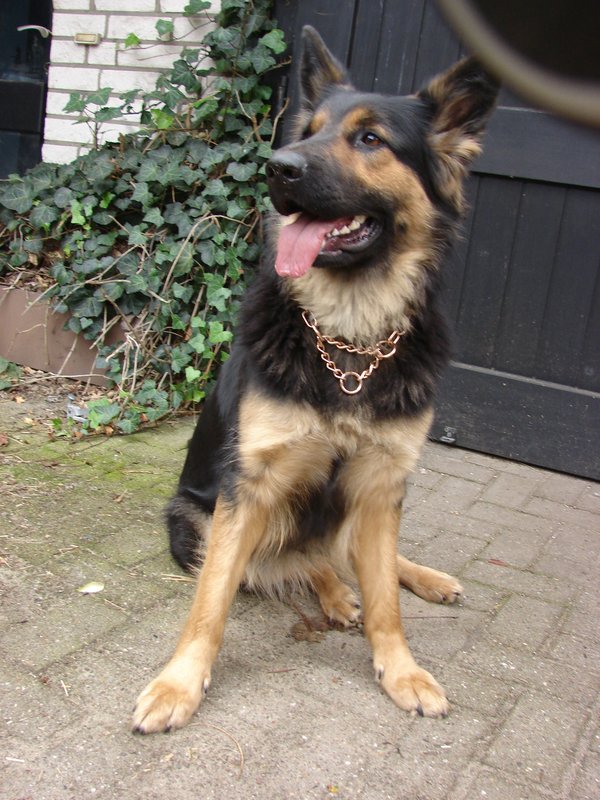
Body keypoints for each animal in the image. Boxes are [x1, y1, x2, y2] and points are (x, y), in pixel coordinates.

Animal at [132, 25, 498, 733]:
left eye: (370, 139)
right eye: (308, 131)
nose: (279, 166)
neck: (350, 338)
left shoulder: (382, 483)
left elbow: (385, 600)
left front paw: (401, 669)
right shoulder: (247, 489)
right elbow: (211, 602)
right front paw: (178, 684)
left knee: (346, 556)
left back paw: (422, 578)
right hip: (194, 521)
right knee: (299, 560)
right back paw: (333, 594)